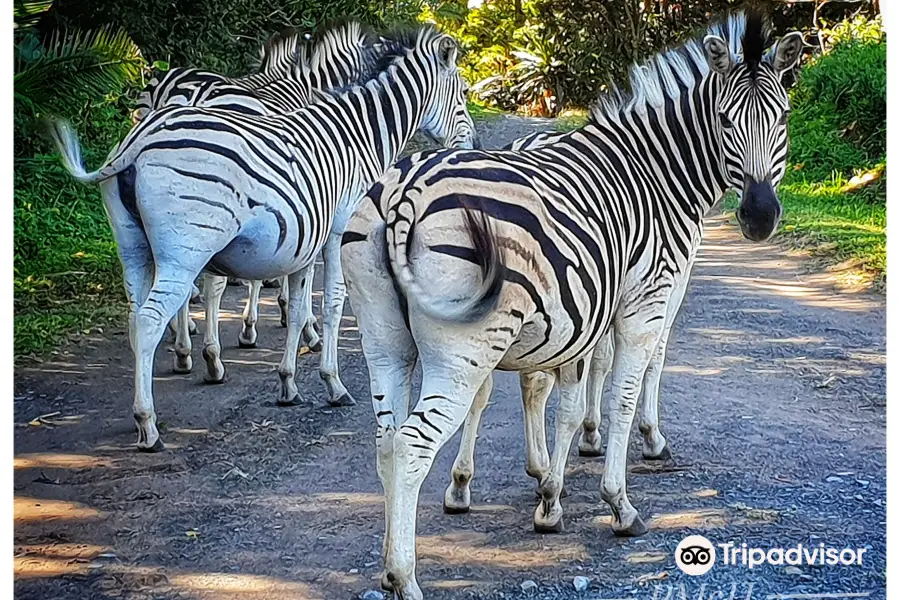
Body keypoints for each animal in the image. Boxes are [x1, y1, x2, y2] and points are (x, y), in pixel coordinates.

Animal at [342, 9, 800, 596]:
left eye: (782, 118)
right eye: (725, 121)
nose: (760, 218)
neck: (656, 172)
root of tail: (408, 191)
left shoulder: (583, 310)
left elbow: (565, 397)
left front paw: (551, 493)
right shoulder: (649, 300)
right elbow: (628, 391)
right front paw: (620, 501)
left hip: (384, 336)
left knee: (385, 441)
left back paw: (388, 565)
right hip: (463, 348)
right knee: (411, 446)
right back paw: (406, 578)